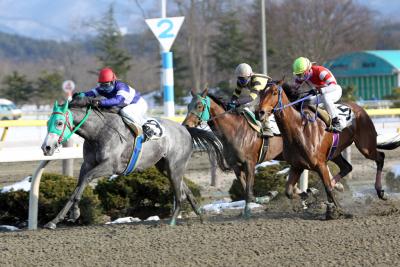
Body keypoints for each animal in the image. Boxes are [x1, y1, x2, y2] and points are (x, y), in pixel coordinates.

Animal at [43, 98, 228, 230]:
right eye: (47, 123)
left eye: (59, 123)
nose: (46, 147)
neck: (99, 132)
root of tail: (186, 130)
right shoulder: (87, 164)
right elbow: (77, 187)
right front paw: (55, 220)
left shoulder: (110, 165)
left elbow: (85, 180)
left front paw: (75, 213)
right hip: (165, 168)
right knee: (186, 191)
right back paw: (201, 217)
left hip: (174, 166)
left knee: (180, 194)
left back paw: (172, 222)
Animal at [181, 89, 284, 217]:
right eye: (188, 106)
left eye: (199, 106)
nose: (186, 125)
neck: (235, 130)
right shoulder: (236, 166)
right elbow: (247, 191)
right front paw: (267, 196)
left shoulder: (250, 164)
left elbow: (248, 190)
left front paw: (247, 212)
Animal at [256, 80, 400, 219]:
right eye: (261, 93)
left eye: (274, 92)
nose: (260, 112)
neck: (298, 129)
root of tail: (359, 108)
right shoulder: (297, 165)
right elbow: (289, 192)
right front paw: (311, 194)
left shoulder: (320, 164)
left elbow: (328, 188)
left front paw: (339, 211)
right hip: (336, 152)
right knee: (347, 167)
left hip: (365, 146)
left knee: (380, 157)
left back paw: (380, 192)